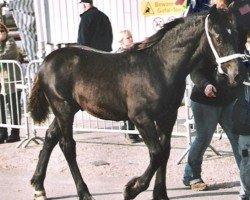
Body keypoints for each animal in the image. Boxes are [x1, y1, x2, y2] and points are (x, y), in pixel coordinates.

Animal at [29, 5, 246, 200]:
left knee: (50, 136)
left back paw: (38, 187)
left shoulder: (167, 117)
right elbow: (156, 153)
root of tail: (46, 61)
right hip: (63, 109)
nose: (237, 74)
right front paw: (131, 189)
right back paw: (84, 193)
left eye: (235, 34)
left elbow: (165, 153)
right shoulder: (141, 118)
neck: (159, 67)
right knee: (67, 146)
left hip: (68, 110)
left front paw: (160, 195)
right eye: (218, 37)